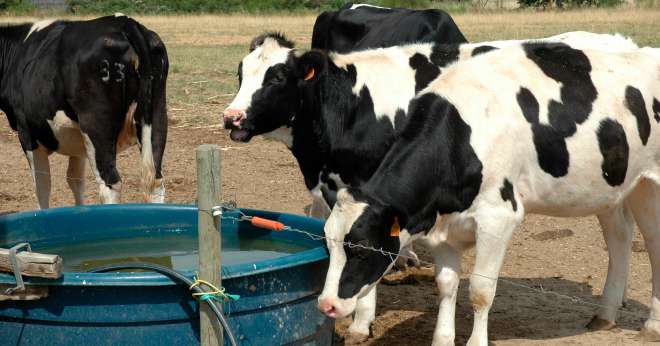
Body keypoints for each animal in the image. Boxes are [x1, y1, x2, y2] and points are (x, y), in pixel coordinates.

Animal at [0, 14, 169, 208]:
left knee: (109, 185)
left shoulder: (27, 133)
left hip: (96, 127)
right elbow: (75, 180)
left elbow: (42, 185)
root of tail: (125, 22)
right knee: (155, 181)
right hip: (157, 117)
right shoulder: (77, 142)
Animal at [223, 31, 640, 342]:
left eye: (277, 77)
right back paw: (609, 308)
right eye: (241, 73)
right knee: (620, 232)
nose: (231, 117)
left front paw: (361, 321)